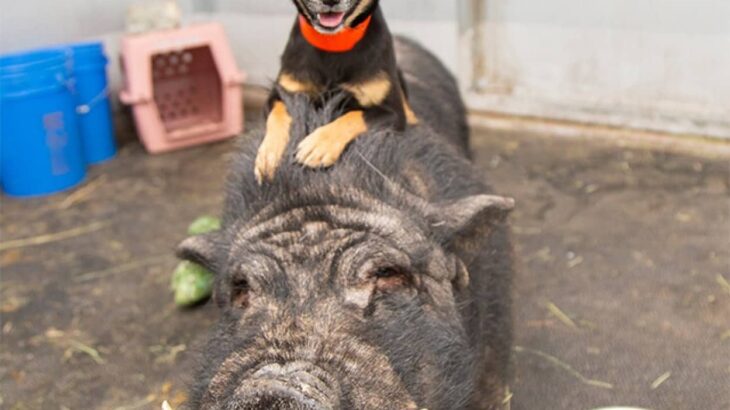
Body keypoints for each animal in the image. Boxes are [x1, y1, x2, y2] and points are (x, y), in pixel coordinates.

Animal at [255, 0, 416, 183]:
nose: (330, 1)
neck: (333, 43)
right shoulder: (280, 94)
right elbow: (278, 114)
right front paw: (270, 155)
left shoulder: (394, 114)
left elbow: (354, 116)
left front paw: (319, 145)